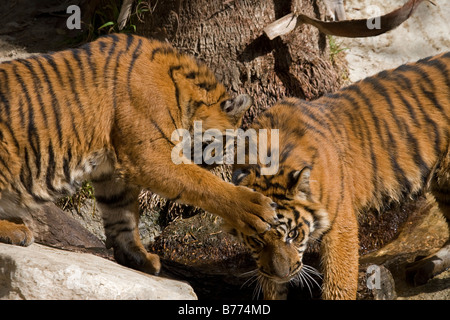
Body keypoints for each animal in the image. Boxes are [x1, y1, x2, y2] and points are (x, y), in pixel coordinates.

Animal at [0, 33, 278, 276]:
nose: (215, 166)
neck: (185, 98)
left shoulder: (111, 171)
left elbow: (123, 216)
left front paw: (138, 257)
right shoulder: (149, 155)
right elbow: (204, 184)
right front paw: (255, 207)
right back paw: (15, 230)